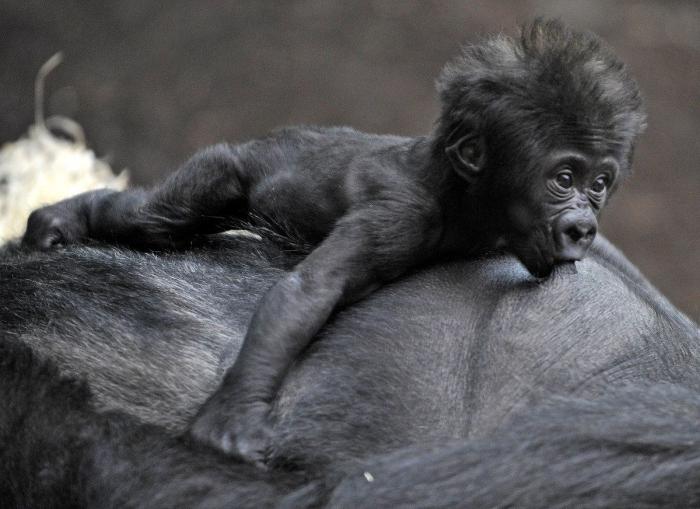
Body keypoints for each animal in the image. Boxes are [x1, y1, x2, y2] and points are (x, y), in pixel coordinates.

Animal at [22, 19, 646, 466]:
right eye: (563, 179)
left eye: (599, 184)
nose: (584, 223)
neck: (464, 195)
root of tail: (270, 139)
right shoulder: (399, 216)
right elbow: (309, 289)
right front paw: (234, 413)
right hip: (227, 169)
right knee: (157, 217)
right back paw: (68, 215)